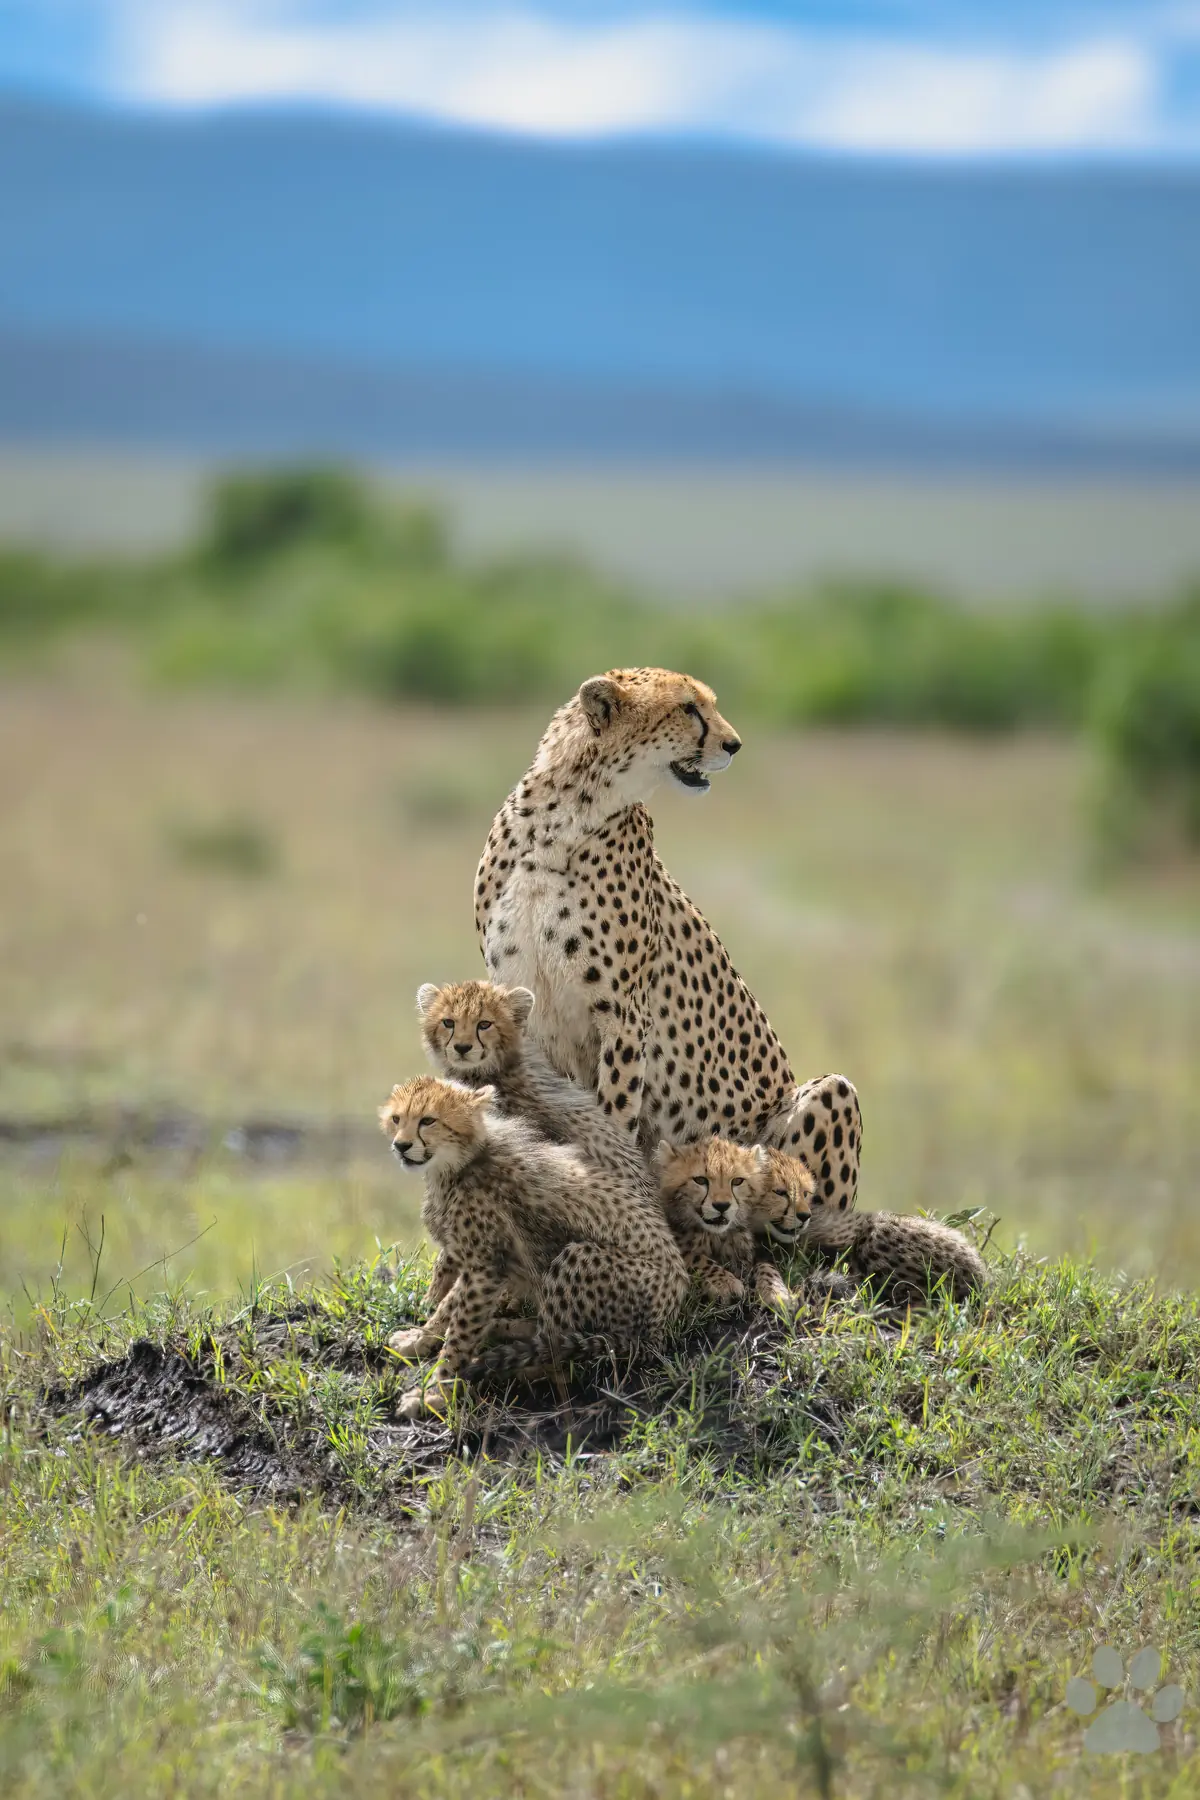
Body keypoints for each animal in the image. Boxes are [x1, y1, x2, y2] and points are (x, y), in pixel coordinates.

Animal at [379, 1075, 687, 1415]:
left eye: (428, 1120)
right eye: (397, 1119)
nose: (401, 1145)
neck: (459, 1162)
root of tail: (661, 1328)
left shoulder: (485, 1269)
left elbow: (461, 1331)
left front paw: (435, 1394)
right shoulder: (478, 1262)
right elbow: (449, 1306)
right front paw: (419, 1338)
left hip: (578, 1257)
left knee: (556, 1359)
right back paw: (500, 1330)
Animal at [473, 668, 862, 1210]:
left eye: (708, 705)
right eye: (687, 708)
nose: (735, 744)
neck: (563, 814)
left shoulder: (623, 1016)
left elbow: (614, 1115)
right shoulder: (522, 1006)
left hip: (826, 1101)